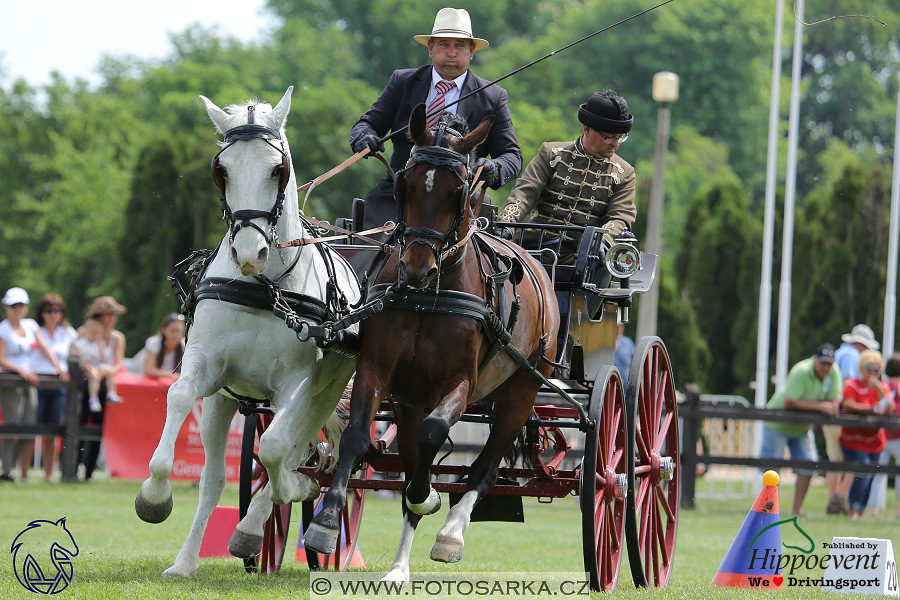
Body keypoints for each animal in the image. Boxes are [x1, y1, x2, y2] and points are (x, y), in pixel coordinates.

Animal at [134, 88, 358, 576]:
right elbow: (178, 397)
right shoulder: (207, 365)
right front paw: (154, 496)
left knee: (299, 451)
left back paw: (264, 523)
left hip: (326, 391)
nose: (249, 252)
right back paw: (186, 562)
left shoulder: (297, 383)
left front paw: (291, 494)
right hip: (225, 401)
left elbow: (275, 450)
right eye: (223, 170)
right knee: (215, 477)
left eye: (279, 169)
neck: (265, 286)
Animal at [306, 105, 560, 584]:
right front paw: (326, 522)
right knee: (411, 457)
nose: (417, 269)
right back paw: (398, 567)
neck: (432, 296)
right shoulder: (378, 369)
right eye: (405, 183)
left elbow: (434, 435)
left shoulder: (461, 382)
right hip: (411, 399)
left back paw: (450, 535)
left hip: (521, 388)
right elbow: (357, 435)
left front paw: (430, 499)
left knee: (485, 465)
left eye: (458, 191)